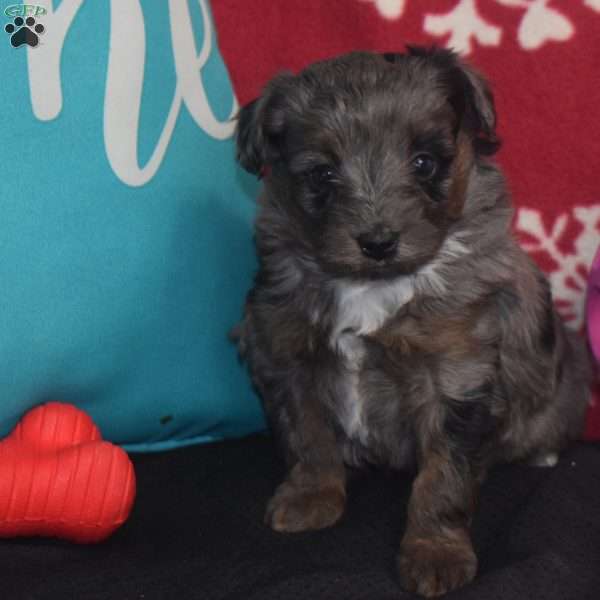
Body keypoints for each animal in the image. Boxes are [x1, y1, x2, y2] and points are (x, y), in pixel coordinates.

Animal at [231, 49, 592, 596]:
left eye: (423, 163)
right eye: (322, 175)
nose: (378, 242)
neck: (373, 285)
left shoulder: (458, 376)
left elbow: (442, 478)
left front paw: (435, 552)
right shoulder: (283, 350)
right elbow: (307, 433)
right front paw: (310, 497)